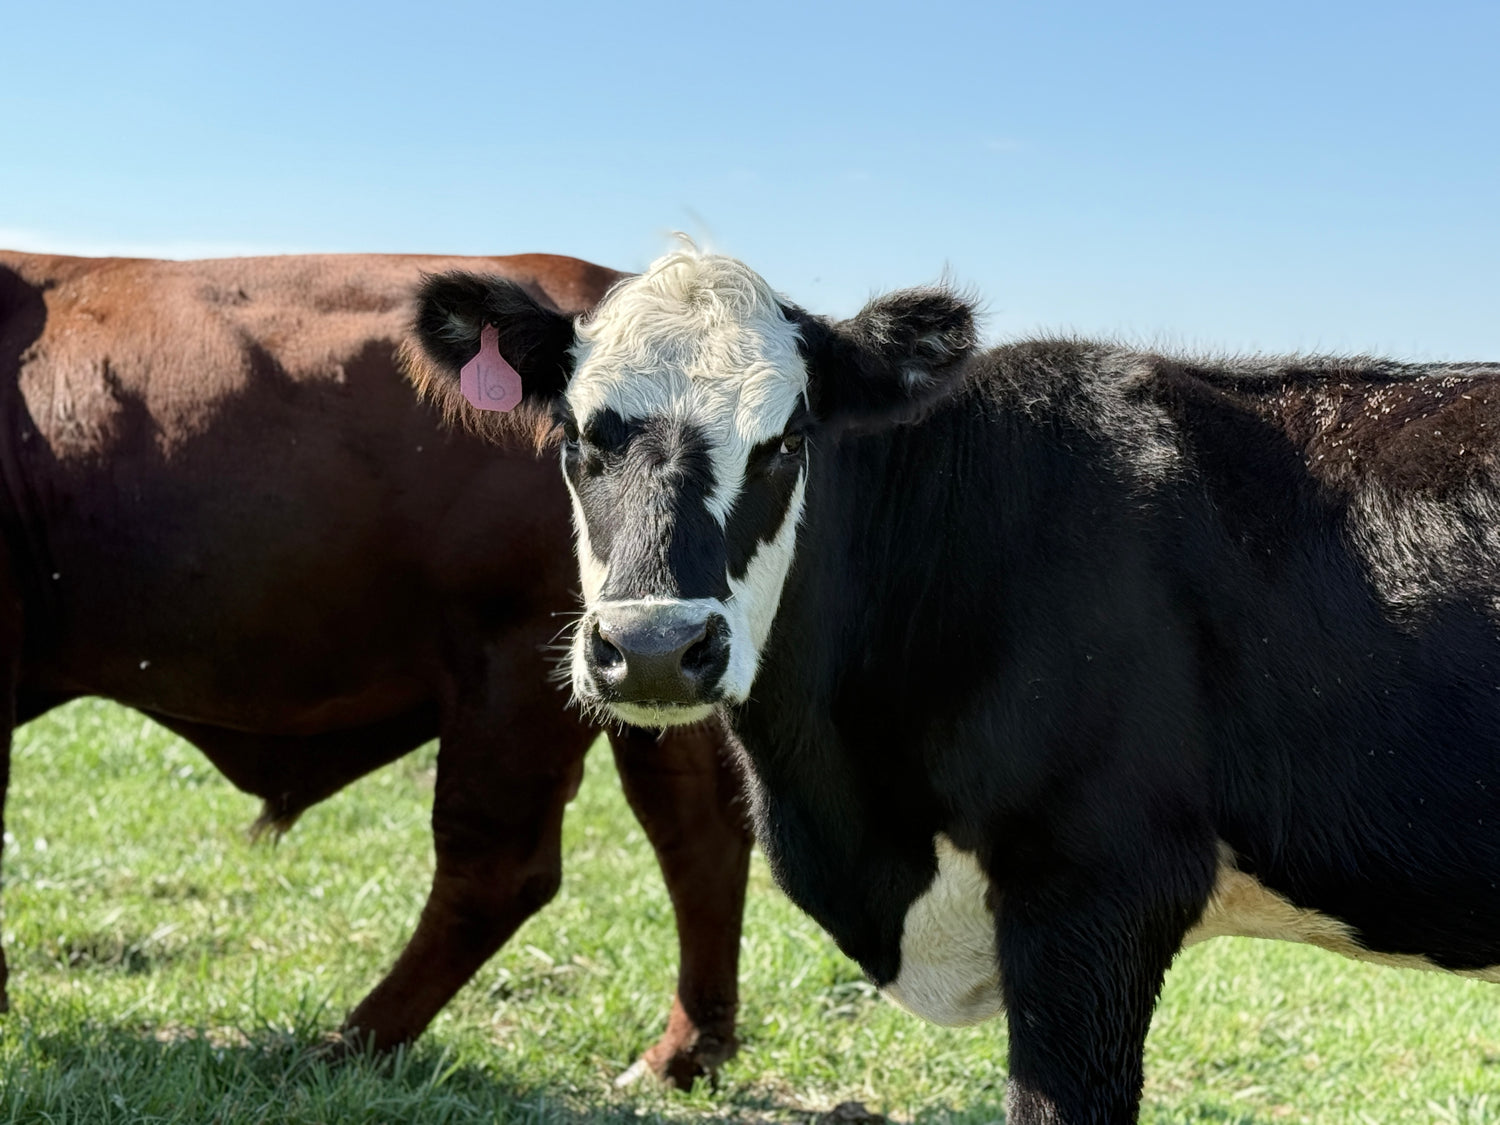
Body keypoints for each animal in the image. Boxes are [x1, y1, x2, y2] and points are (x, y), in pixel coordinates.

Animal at [0, 249, 752, 1087]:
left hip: (518, 670)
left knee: (499, 865)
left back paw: (350, 1043)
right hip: (650, 674)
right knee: (699, 832)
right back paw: (681, 1051)